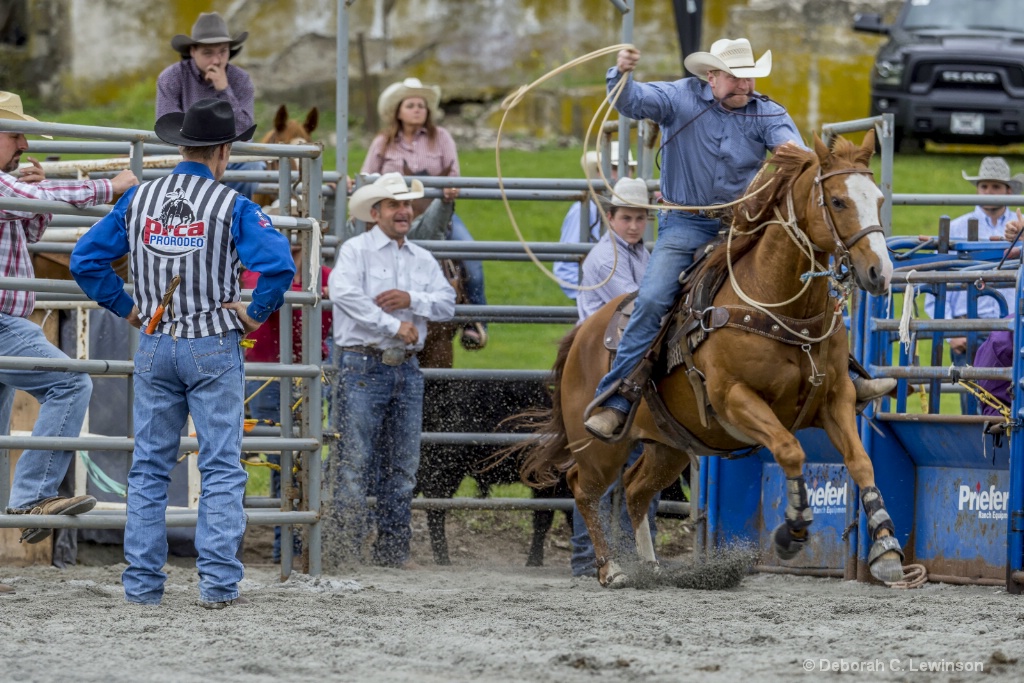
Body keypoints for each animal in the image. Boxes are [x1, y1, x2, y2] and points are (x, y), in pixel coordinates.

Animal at [516, 132, 901, 589]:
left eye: (879, 199)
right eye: (838, 201)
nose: (880, 272)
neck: (777, 304)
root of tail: (583, 333)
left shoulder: (836, 398)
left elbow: (861, 463)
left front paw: (886, 549)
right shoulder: (734, 398)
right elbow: (790, 450)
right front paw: (792, 529)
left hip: (670, 447)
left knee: (635, 489)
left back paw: (651, 566)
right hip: (598, 445)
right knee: (583, 486)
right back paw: (612, 569)